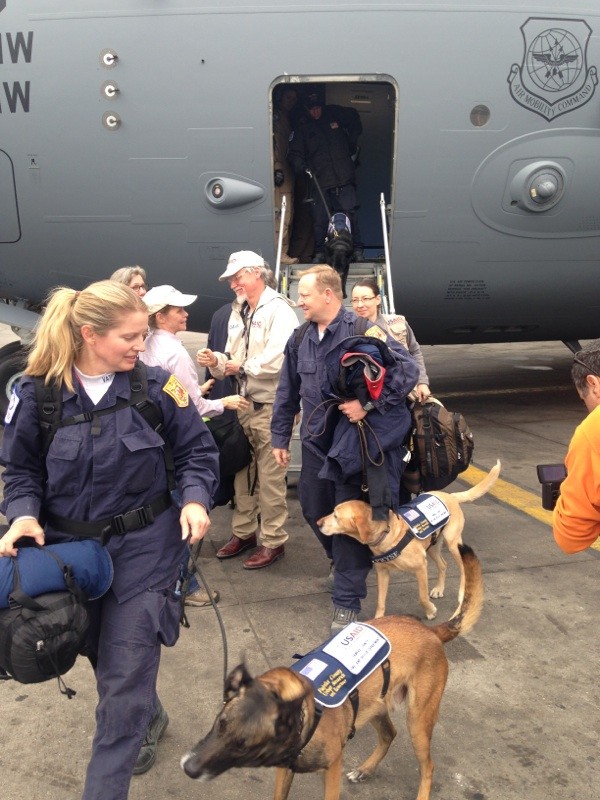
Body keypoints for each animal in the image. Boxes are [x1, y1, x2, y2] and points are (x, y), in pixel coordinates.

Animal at [182, 544, 482, 800]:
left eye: (243, 745)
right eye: (219, 724)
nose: (188, 768)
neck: (303, 712)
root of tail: (430, 631)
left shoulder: (332, 770)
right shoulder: (285, 770)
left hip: (418, 722)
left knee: (427, 766)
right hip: (376, 706)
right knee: (389, 734)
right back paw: (366, 769)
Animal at [318, 460, 502, 620]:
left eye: (336, 516)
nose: (318, 523)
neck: (388, 533)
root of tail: (450, 496)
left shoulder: (421, 567)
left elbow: (421, 596)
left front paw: (430, 611)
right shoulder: (382, 572)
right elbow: (380, 601)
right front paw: (379, 620)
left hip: (453, 544)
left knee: (462, 567)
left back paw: (462, 594)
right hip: (433, 546)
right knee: (443, 565)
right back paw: (439, 589)